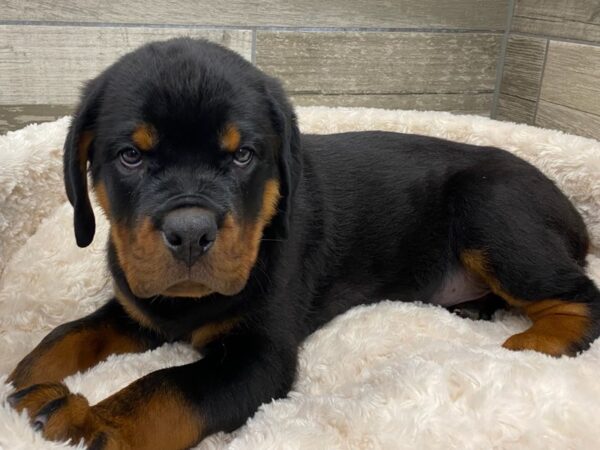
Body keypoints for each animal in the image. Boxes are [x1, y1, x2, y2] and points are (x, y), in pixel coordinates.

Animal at [8, 38, 600, 450]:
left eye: (243, 155)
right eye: (131, 156)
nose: (191, 233)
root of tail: (572, 209)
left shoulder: (258, 357)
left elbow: (167, 387)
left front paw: (89, 419)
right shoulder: (141, 304)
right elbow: (72, 332)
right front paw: (24, 374)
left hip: (493, 210)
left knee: (581, 296)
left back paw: (530, 346)